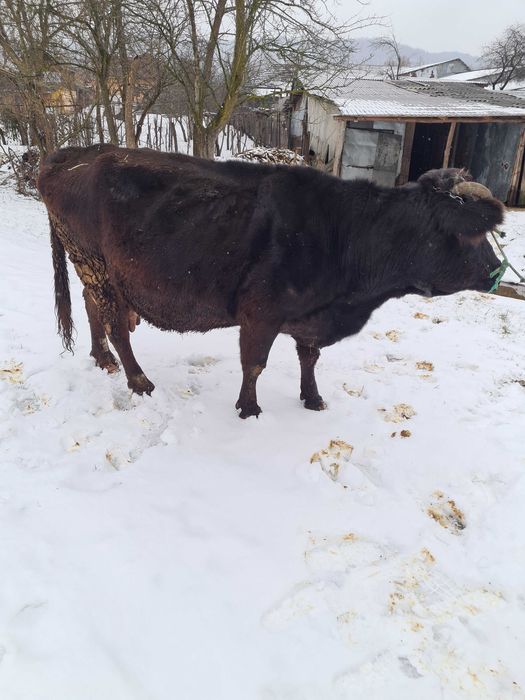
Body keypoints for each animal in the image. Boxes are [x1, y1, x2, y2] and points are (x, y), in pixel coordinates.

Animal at [37, 145, 504, 418]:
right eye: (474, 234)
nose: (497, 272)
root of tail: (70, 155)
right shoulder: (260, 312)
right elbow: (255, 363)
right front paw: (248, 408)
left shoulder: (310, 314)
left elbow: (310, 357)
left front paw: (313, 398)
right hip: (98, 265)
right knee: (116, 324)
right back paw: (138, 381)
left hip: (96, 270)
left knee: (92, 307)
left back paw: (102, 359)